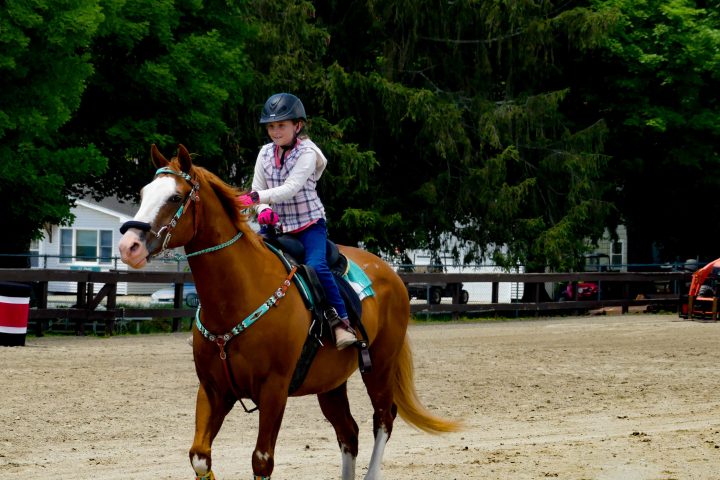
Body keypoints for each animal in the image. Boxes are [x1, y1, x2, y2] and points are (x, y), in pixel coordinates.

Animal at [118, 144, 460, 479]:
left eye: (175, 197)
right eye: (144, 193)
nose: (128, 246)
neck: (239, 296)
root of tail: (391, 275)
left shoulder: (274, 390)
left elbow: (261, 460)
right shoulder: (213, 390)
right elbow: (200, 457)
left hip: (380, 366)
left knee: (383, 418)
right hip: (331, 384)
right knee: (348, 432)